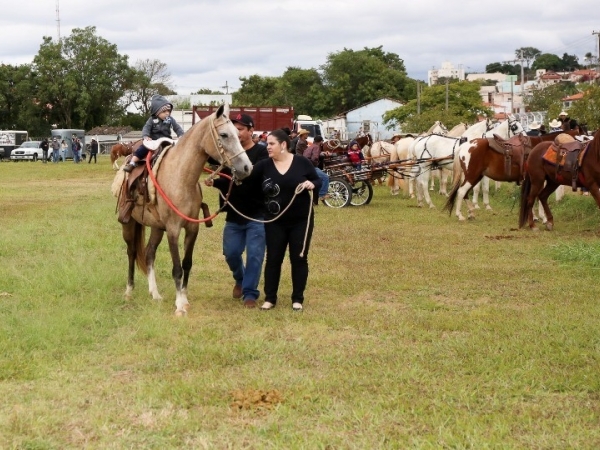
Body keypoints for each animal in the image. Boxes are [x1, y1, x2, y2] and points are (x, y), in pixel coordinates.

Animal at [116, 104, 252, 316]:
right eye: (224, 134)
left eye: (238, 133)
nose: (247, 167)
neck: (181, 177)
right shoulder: (173, 229)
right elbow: (177, 267)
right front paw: (179, 305)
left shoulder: (191, 228)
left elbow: (187, 264)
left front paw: (184, 298)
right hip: (129, 223)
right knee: (131, 252)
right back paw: (129, 291)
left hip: (156, 227)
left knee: (149, 253)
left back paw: (155, 293)